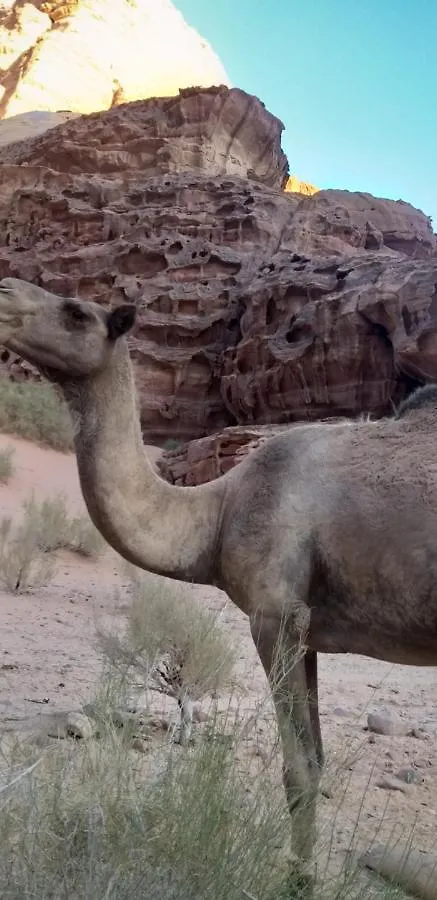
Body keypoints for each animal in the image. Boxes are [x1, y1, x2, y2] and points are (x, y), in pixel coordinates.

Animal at [0, 278, 436, 896]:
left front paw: (298, 881)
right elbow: (317, 757)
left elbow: (299, 767)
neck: (218, 510)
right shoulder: (308, 632)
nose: (4, 291)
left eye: (77, 312)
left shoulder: (275, 616)